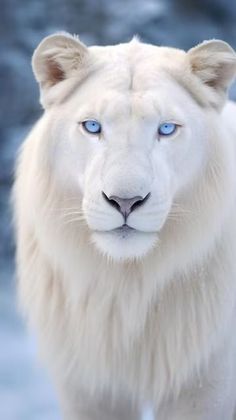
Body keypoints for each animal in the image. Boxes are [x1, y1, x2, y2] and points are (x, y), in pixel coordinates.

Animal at [13, 33, 236, 420]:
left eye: (166, 129)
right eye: (93, 126)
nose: (125, 201)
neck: (126, 286)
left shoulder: (204, 383)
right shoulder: (88, 387)